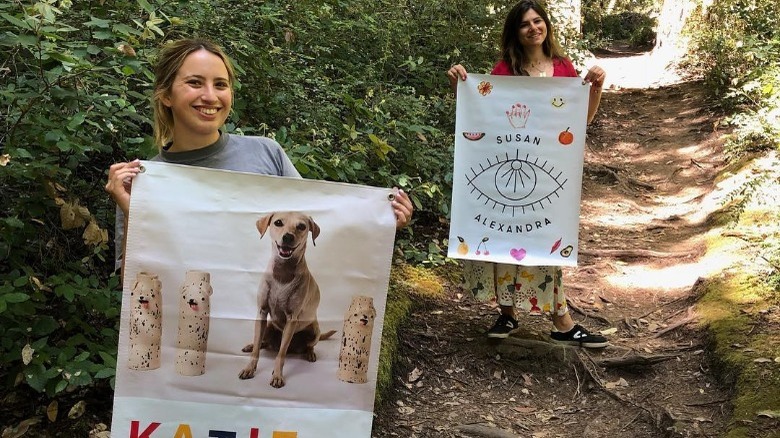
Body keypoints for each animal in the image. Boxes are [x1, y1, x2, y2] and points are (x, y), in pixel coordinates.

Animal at [236, 211, 330, 386]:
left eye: (301, 226)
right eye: (278, 222)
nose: (288, 237)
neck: (282, 272)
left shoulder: (291, 319)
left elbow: (281, 354)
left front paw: (277, 375)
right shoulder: (261, 312)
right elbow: (257, 348)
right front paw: (249, 368)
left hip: (315, 331)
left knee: (307, 345)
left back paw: (310, 353)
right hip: (268, 327)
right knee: (262, 342)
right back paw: (251, 345)